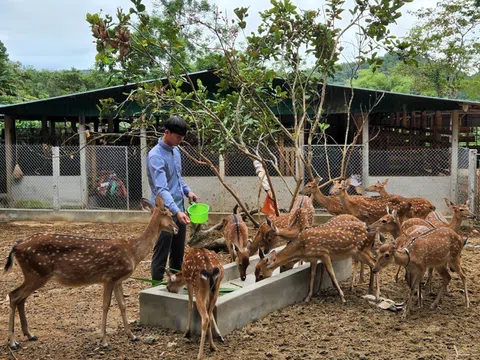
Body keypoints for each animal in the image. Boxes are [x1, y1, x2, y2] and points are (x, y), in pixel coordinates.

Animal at [3, 195, 178, 350]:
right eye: (170, 214)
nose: (176, 229)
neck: (133, 252)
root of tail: (17, 246)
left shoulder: (118, 280)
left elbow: (122, 305)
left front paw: (132, 336)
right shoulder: (109, 277)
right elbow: (106, 306)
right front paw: (105, 342)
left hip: (34, 273)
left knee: (20, 298)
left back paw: (29, 334)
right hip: (37, 272)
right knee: (14, 295)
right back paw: (13, 342)